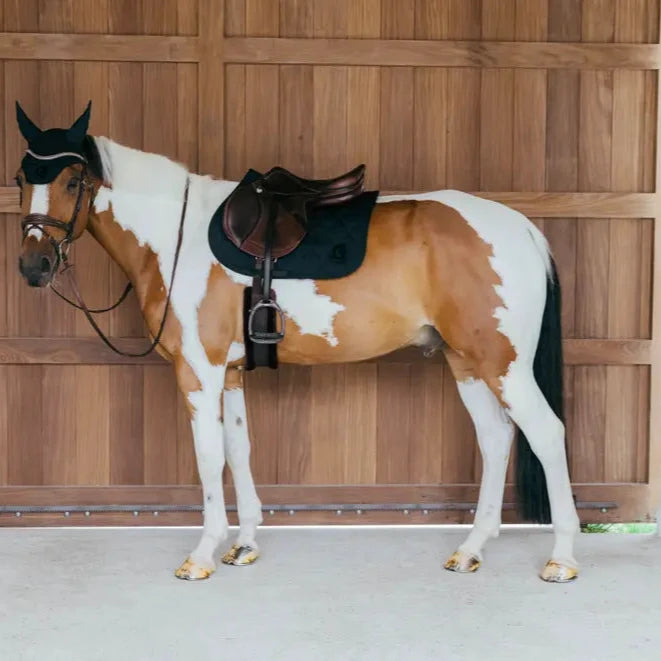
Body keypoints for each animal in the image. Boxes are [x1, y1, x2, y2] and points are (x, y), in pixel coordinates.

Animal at [11, 104, 576, 584]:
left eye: (73, 179)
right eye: (20, 177)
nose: (34, 266)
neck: (176, 237)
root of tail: (521, 228)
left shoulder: (199, 371)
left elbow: (208, 455)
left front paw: (203, 554)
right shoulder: (229, 374)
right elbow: (238, 448)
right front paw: (243, 544)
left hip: (503, 365)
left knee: (546, 435)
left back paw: (562, 558)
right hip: (466, 362)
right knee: (497, 439)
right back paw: (471, 548)